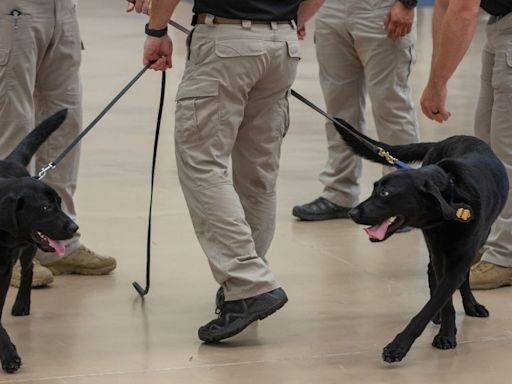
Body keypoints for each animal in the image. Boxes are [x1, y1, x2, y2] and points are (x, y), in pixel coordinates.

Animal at [0, 109, 78, 374]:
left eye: (59, 204)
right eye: (45, 207)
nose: (74, 227)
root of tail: (11, 161)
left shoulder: (2, 273)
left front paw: (9, 355)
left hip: (27, 250)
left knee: (28, 270)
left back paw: (22, 304)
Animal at [332, 118, 508, 364]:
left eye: (385, 194)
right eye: (374, 188)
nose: (352, 213)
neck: (452, 195)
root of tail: (444, 140)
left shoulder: (460, 258)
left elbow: (435, 301)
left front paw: (399, 346)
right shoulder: (439, 252)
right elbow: (442, 301)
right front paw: (446, 332)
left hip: (477, 240)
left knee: (461, 277)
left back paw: (472, 304)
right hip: (434, 246)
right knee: (431, 271)